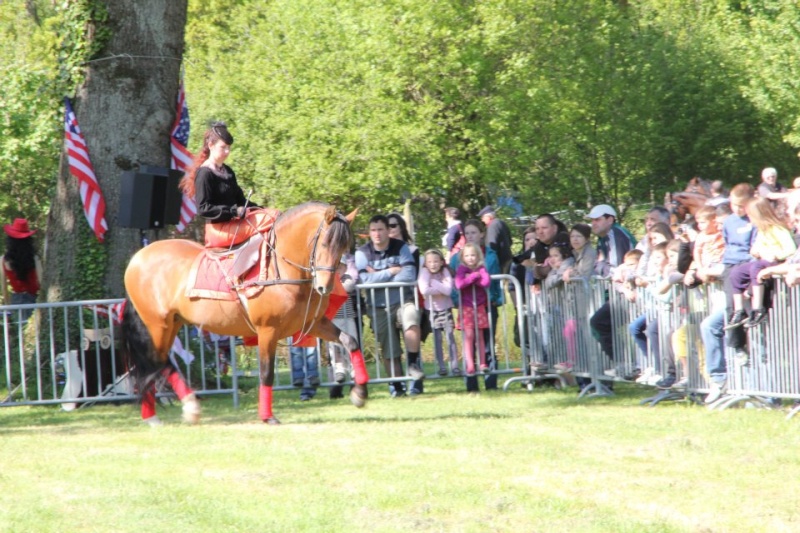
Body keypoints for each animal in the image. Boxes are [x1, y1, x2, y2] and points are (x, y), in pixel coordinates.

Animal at [121, 202, 368, 426]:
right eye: (325, 243)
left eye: (344, 247)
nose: (325, 287)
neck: (283, 270)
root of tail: (137, 258)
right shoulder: (268, 331)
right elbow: (266, 373)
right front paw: (267, 416)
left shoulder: (313, 324)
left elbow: (351, 341)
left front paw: (360, 393)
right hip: (158, 324)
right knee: (155, 361)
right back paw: (179, 409)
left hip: (172, 323)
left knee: (157, 362)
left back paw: (159, 415)